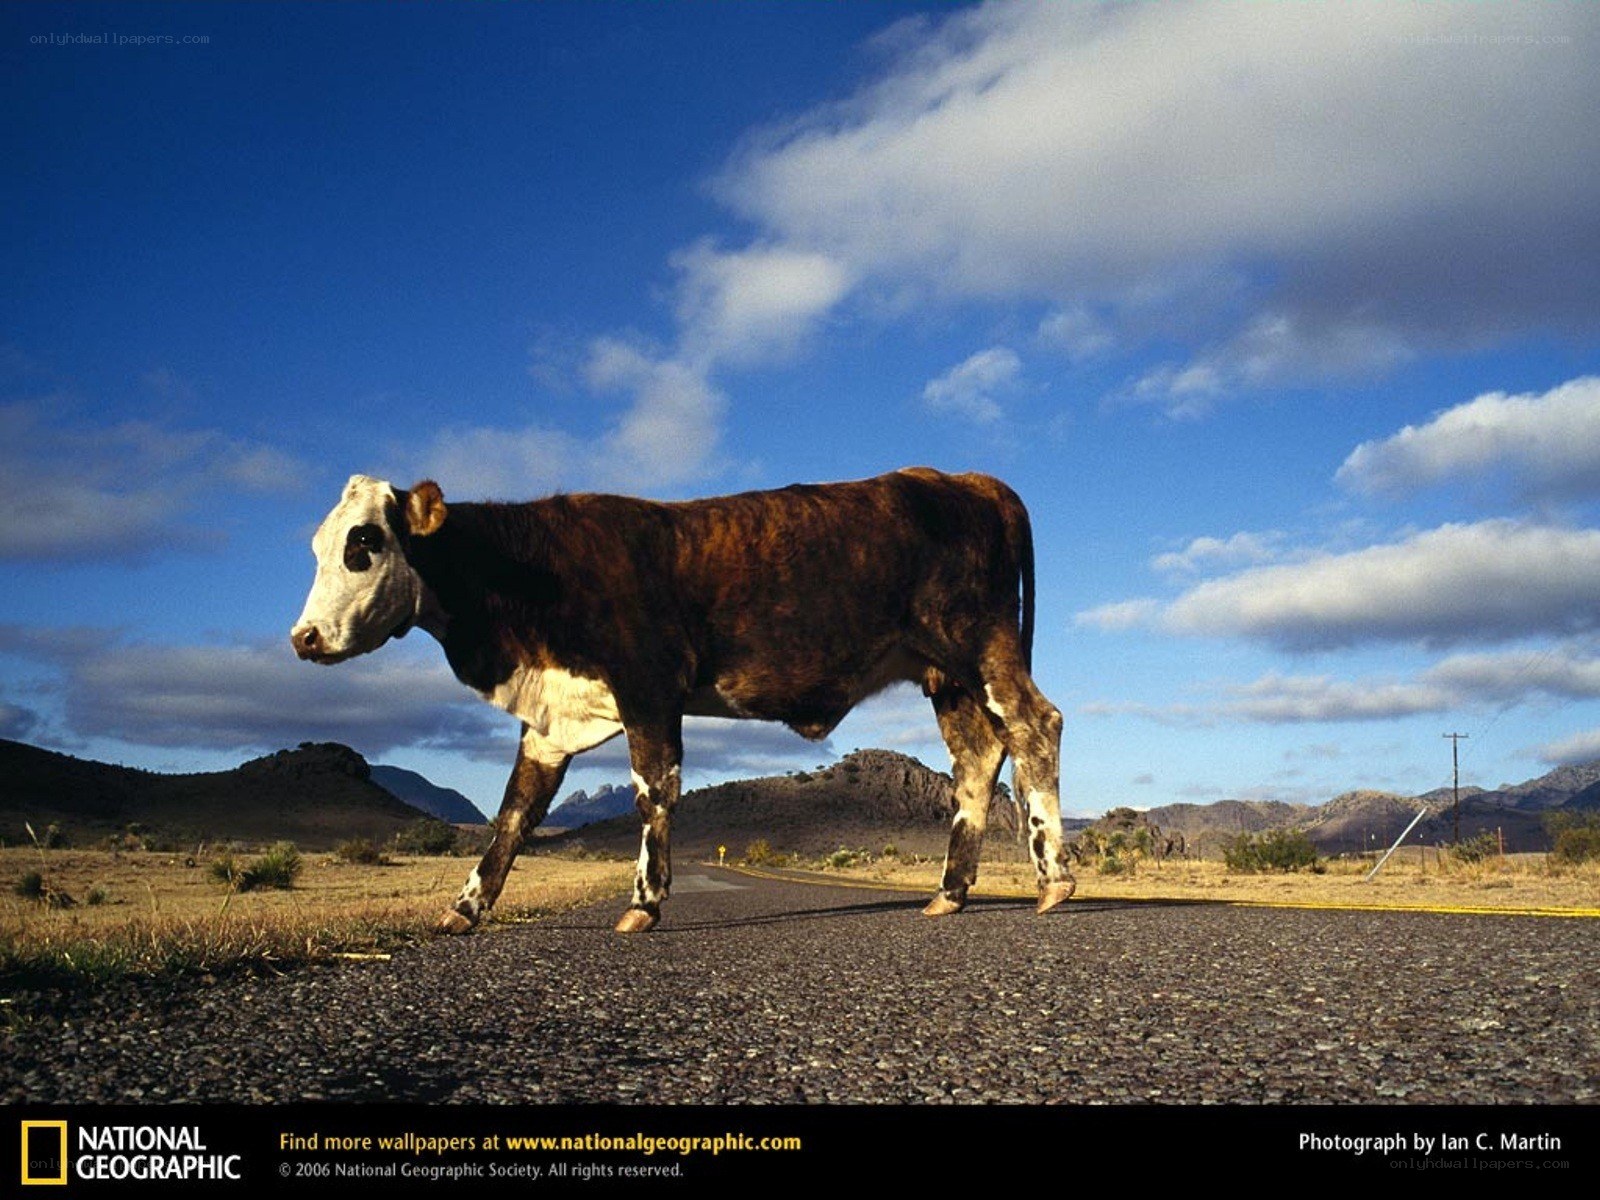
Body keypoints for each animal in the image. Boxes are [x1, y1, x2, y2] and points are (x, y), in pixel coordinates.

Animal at [290, 468, 1075, 933]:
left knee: (1035, 726)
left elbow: (653, 790)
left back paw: (1055, 881)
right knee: (978, 762)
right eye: (318, 547)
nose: (304, 638)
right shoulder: (549, 723)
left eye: (365, 543)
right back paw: (950, 891)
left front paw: (643, 903)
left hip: (981, 646)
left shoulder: (648, 685)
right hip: (945, 675)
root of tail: (968, 479)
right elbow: (513, 816)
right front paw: (466, 907)